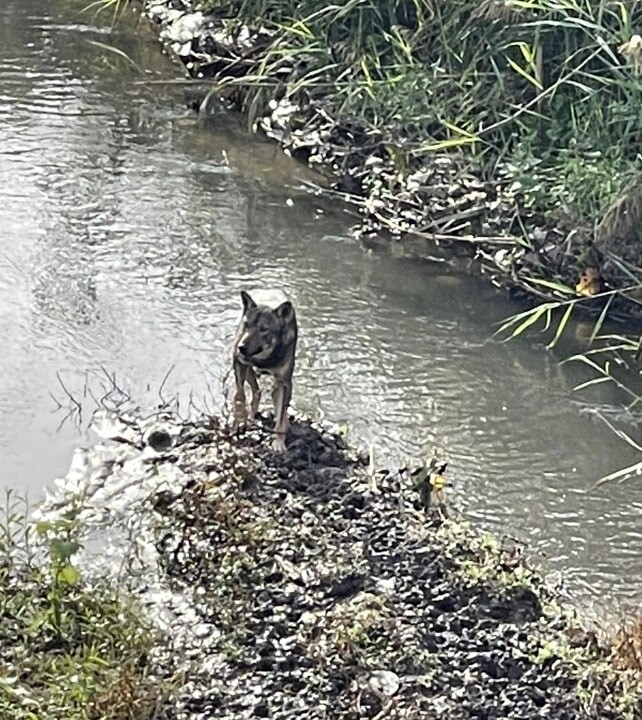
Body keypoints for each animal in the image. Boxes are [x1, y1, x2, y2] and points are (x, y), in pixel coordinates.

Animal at [232, 289, 298, 451]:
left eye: (263, 329)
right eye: (246, 325)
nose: (240, 347)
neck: (265, 358)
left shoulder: (284, 382)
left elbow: (281, 415)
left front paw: (278, 442)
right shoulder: (238, 363)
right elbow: (239, 395)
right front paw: (240, 418)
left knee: (274, 399)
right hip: (248, 372)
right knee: (257, 391)